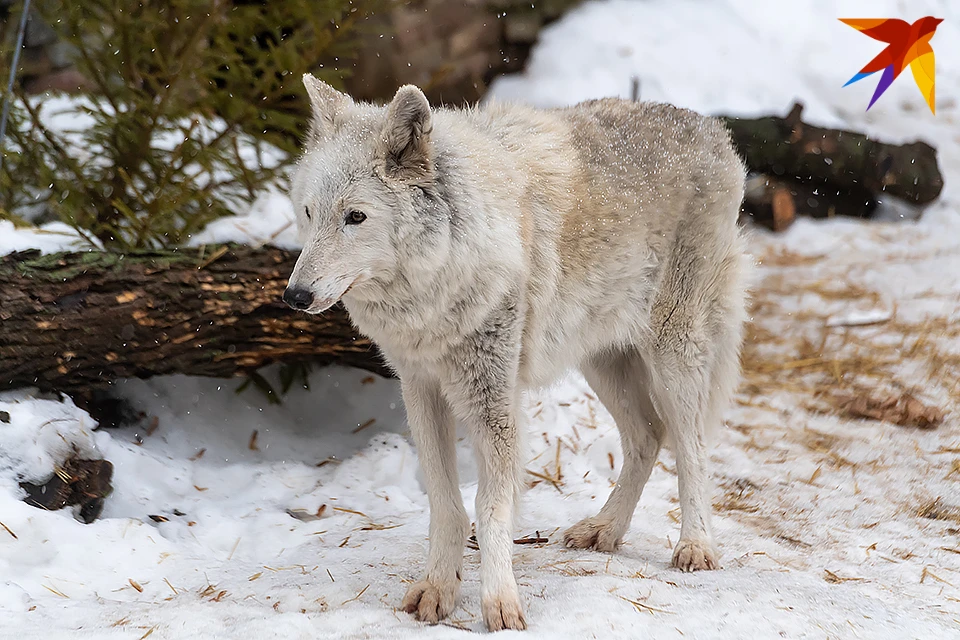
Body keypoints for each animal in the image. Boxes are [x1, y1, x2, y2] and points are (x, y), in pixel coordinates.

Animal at [284, 75, 752, 632]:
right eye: (309, 212)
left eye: (355, 217)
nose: (294, 296)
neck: (439, 282)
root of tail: (714, 130)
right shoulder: (420, 388)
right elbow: (445, 502)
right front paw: (438, 590)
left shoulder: (494, 401)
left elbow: (490, 506)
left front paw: (501, 604)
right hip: (601, 360)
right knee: (648, 437)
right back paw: (605, 530)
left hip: (672, 352)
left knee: (692, 446)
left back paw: (695, 546)